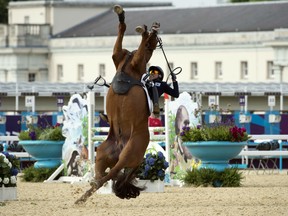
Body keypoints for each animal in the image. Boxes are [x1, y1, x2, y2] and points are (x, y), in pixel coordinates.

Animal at [75, 5, 159, 204]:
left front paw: (143, 32)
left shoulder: (135, 60)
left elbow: (139, 47)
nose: (155, 28)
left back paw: (83, 196)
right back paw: (83, 196)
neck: (127, 66)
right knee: (102, 178)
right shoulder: (118, 56)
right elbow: (122, 34)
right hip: (101, 155)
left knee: (107, 176)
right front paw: (126, 18)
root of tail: (121, 146)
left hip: (126, 156)